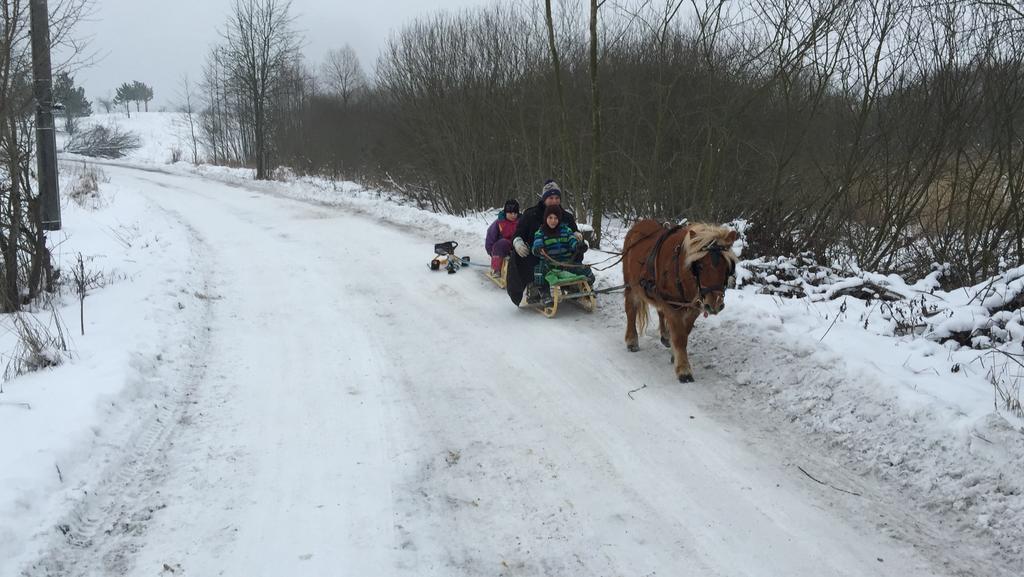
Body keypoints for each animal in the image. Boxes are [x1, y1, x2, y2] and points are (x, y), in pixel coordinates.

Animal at [622, 221, 737, 383]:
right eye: (700, 265)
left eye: (726, 266)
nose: (714, 304)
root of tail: (639, 224)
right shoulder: (673, 307)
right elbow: (680, 336)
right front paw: (683, 369)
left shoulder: (693, 307)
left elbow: (684, 332)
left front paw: (675, 354)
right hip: (631, 286)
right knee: (631, 310)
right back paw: (632, 340)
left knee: (660, 310)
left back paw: (665, 336)